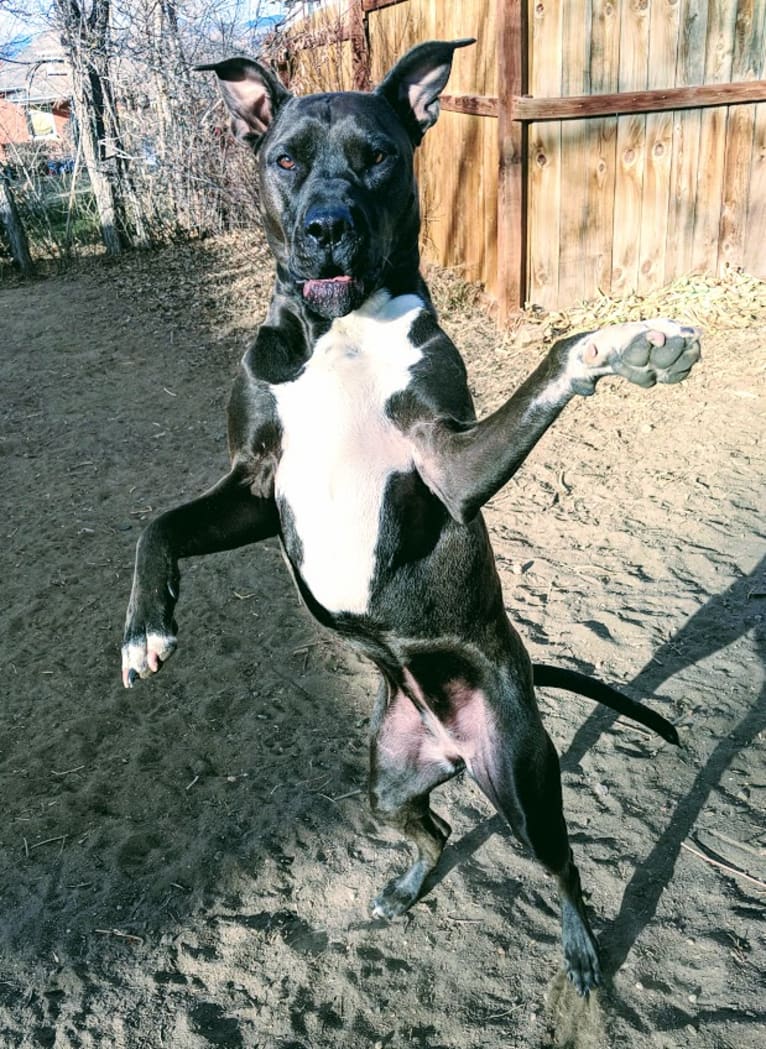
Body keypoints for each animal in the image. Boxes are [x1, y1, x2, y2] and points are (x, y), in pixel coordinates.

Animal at [119, 38, 696, 990]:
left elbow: (556, 357)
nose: (325, 226)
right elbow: (157, 524)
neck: (339, 330)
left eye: (378, 156)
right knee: (438, 826)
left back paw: (582, 953)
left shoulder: (447, 461)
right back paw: (404, 884)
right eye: (287, 159)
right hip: (386, 780)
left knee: (562, 867)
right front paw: (143, 631)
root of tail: (449, 745)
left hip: (524, 779)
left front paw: (624, 346)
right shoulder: (254, 486)